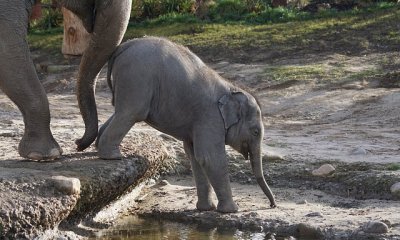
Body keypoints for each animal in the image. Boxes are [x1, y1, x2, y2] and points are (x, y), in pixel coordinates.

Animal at [97, 36, 276, 213]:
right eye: (255, 132)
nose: (272, 205)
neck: (232, 88)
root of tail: (124, 46)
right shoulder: (210, 117)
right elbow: (210, 157)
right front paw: (232, 210)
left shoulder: (198, 123)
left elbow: (195, 156)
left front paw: (206, 208)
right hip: (137, 78)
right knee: (131, 113)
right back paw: (112, 156)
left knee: (120, 112)